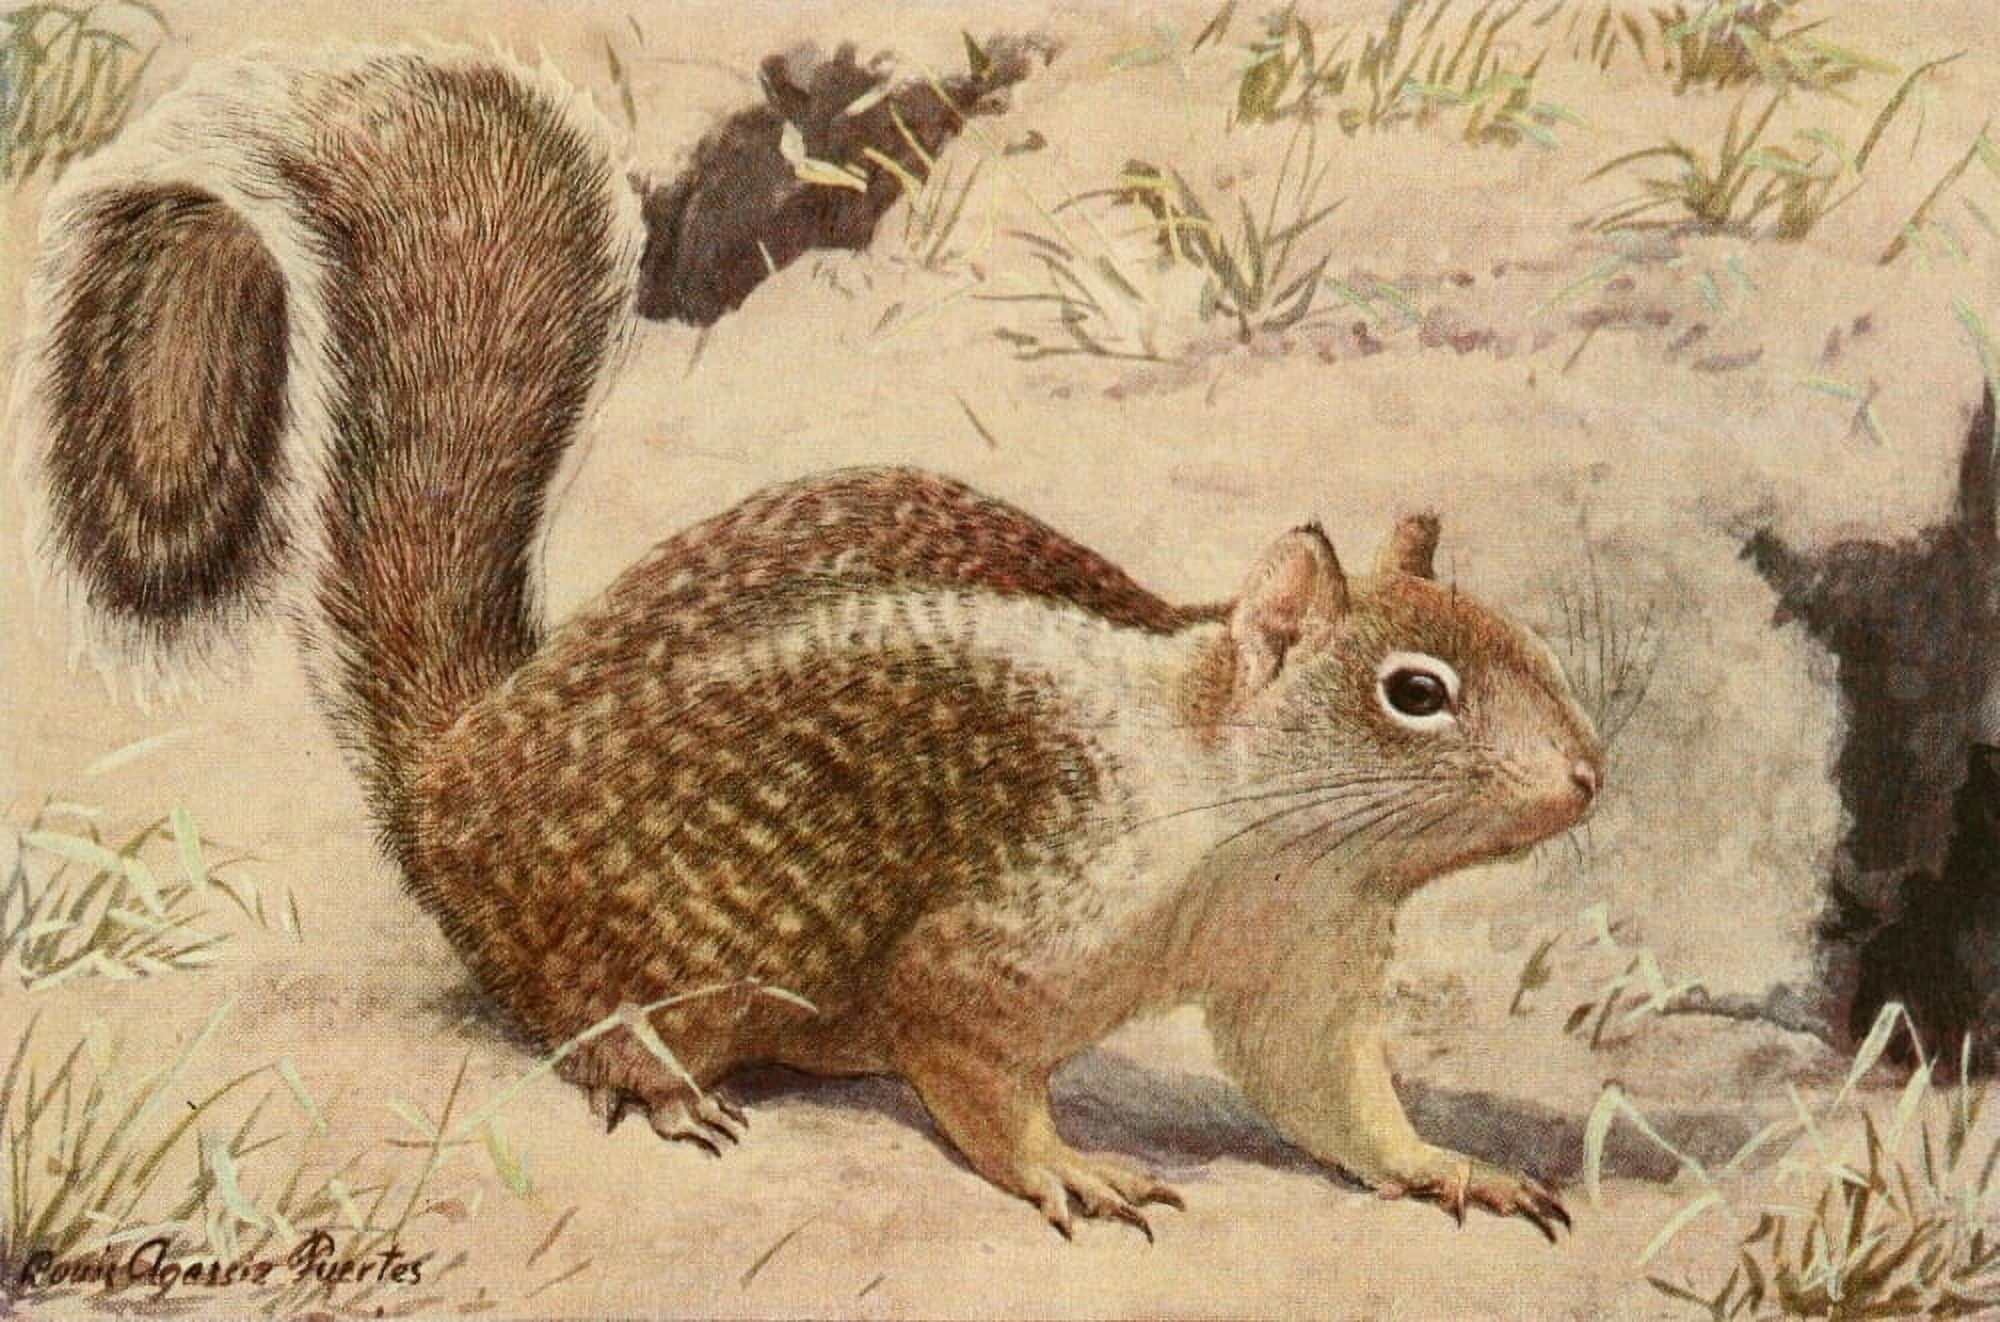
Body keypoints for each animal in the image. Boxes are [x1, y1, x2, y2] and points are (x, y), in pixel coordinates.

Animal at [18, 50, 1602, 1240]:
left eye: (1519, 640)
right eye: (1415, 692)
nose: (1590, 778)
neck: (1235, 801)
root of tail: (450, 772)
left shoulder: (1298, 961)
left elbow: (1327, 1096)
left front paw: (1446, 1164)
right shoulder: (1014, 923)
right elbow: (967, 1054)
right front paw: (1070, 1166)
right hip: (644, 942)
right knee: (576, 1016)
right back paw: (658, 1081)